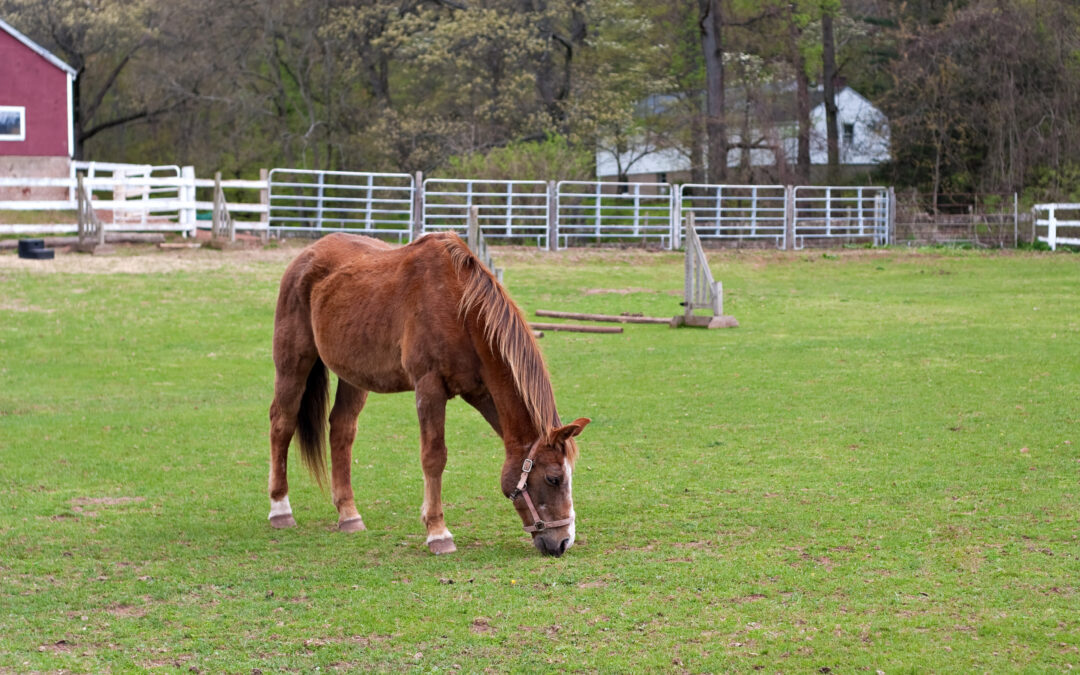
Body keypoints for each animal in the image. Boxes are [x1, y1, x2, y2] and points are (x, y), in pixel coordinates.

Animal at [270, 228, 591, 557]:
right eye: (554, 478)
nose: (564, 541)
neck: (460, 310)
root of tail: (306, 256)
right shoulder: (429, 386)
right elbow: (434, 457)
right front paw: (438, 532)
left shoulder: (481, 392)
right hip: (293, 363)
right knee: (282, 423)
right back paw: (280, 509)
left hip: (354, 375)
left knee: (342, 431)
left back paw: (349, 514)